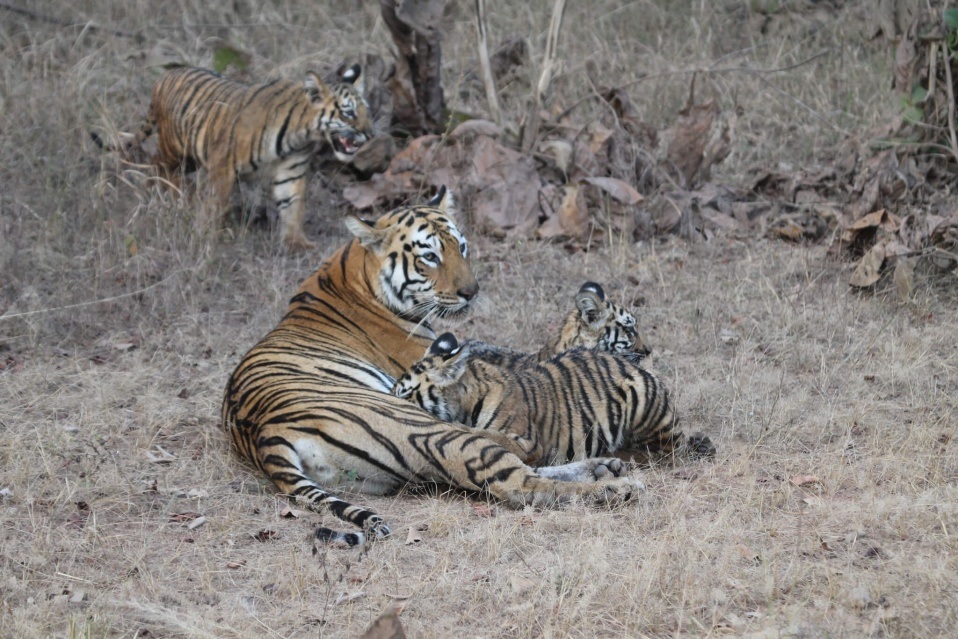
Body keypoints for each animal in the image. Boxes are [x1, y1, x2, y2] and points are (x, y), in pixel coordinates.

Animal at [93, 64, 372, 250]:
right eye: (348, 113)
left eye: (365, 111)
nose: (369, 133)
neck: (300, 134)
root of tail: (163, 77)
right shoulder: (223, 167)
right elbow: (218, 204)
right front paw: (214, 235)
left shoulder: (291, 171)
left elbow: (292, 205)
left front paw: (297, 242)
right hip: (175, 148)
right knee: (157, 164)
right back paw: (179, 192)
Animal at [220, 188, 644, 548]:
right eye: (430, 256)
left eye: (462, 247)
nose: (471, 293)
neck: (352, 272)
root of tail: (265, 436)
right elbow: (523, 361)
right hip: (427, 428)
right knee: (520, 473)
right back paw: (612, 486)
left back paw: (604, 468)